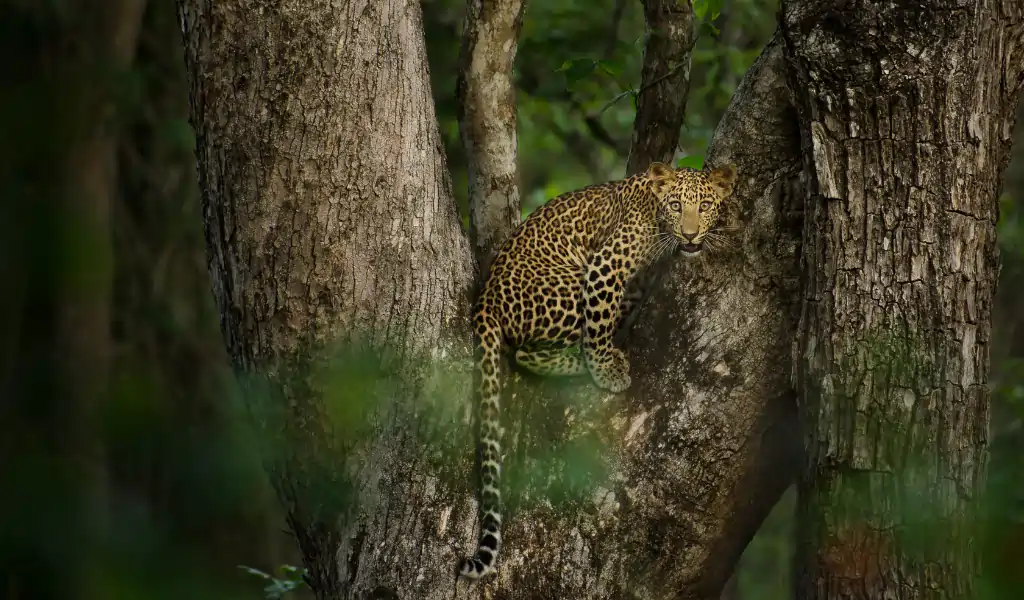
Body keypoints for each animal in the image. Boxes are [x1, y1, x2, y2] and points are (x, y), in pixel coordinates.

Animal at [457, 161, 738, 580]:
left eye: (704, 206)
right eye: (675, 205)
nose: (690, 234)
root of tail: (486, 299)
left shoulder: (636, 284)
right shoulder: (605, 267)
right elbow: (600, 321)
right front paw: (606, 368)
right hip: (567, 286)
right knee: (524, 353)